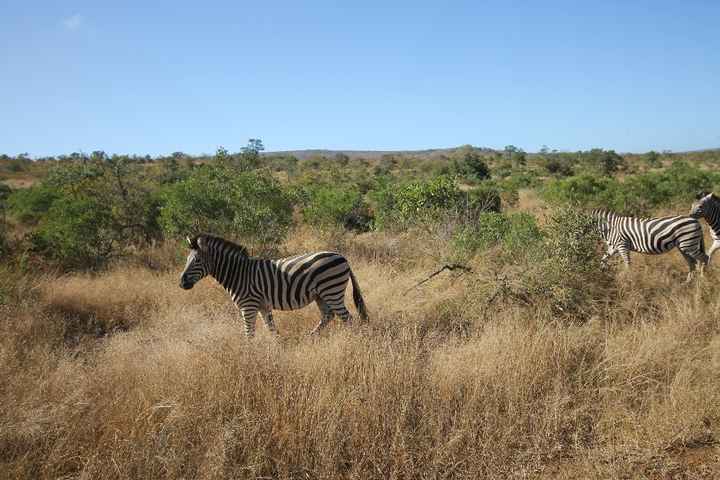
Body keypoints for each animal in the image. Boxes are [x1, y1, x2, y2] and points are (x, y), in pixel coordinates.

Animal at [179, 234, 368, 337]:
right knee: (328, 315)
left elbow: (249, 334)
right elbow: (271, 330)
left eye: (196, 260)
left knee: (348, 318)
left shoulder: (248, 306)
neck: (238, 274)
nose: (181, 283)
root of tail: (342, 256)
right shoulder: (263, 306)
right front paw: (279, 348)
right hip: (320, 294)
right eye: (187, 259)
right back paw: (311, 336)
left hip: (332, 290)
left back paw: (352, 341)